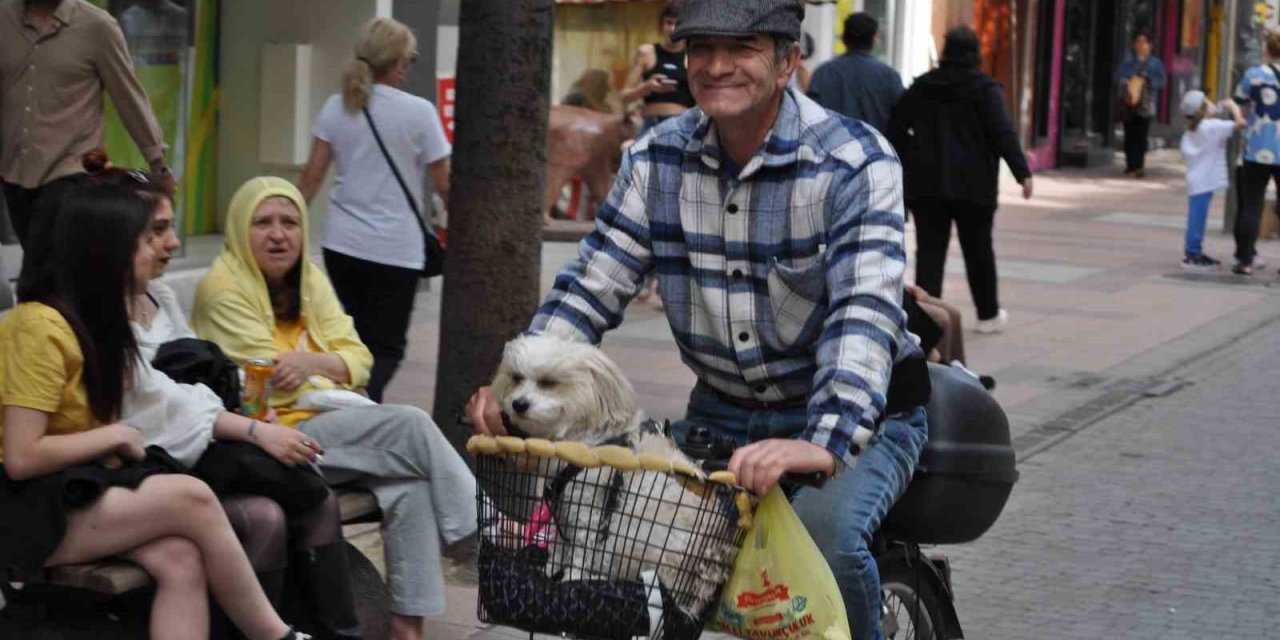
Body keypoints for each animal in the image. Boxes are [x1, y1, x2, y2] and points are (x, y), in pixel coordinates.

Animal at [486, 335, 737, 619]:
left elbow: (580, 552)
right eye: (516, 377)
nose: (518, 404)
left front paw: (571, 579)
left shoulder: (589, 512)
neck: (587, 438)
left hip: (645, 542)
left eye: (548, 382)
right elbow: (560, 545)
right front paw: (550, 569)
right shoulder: (564, 506)